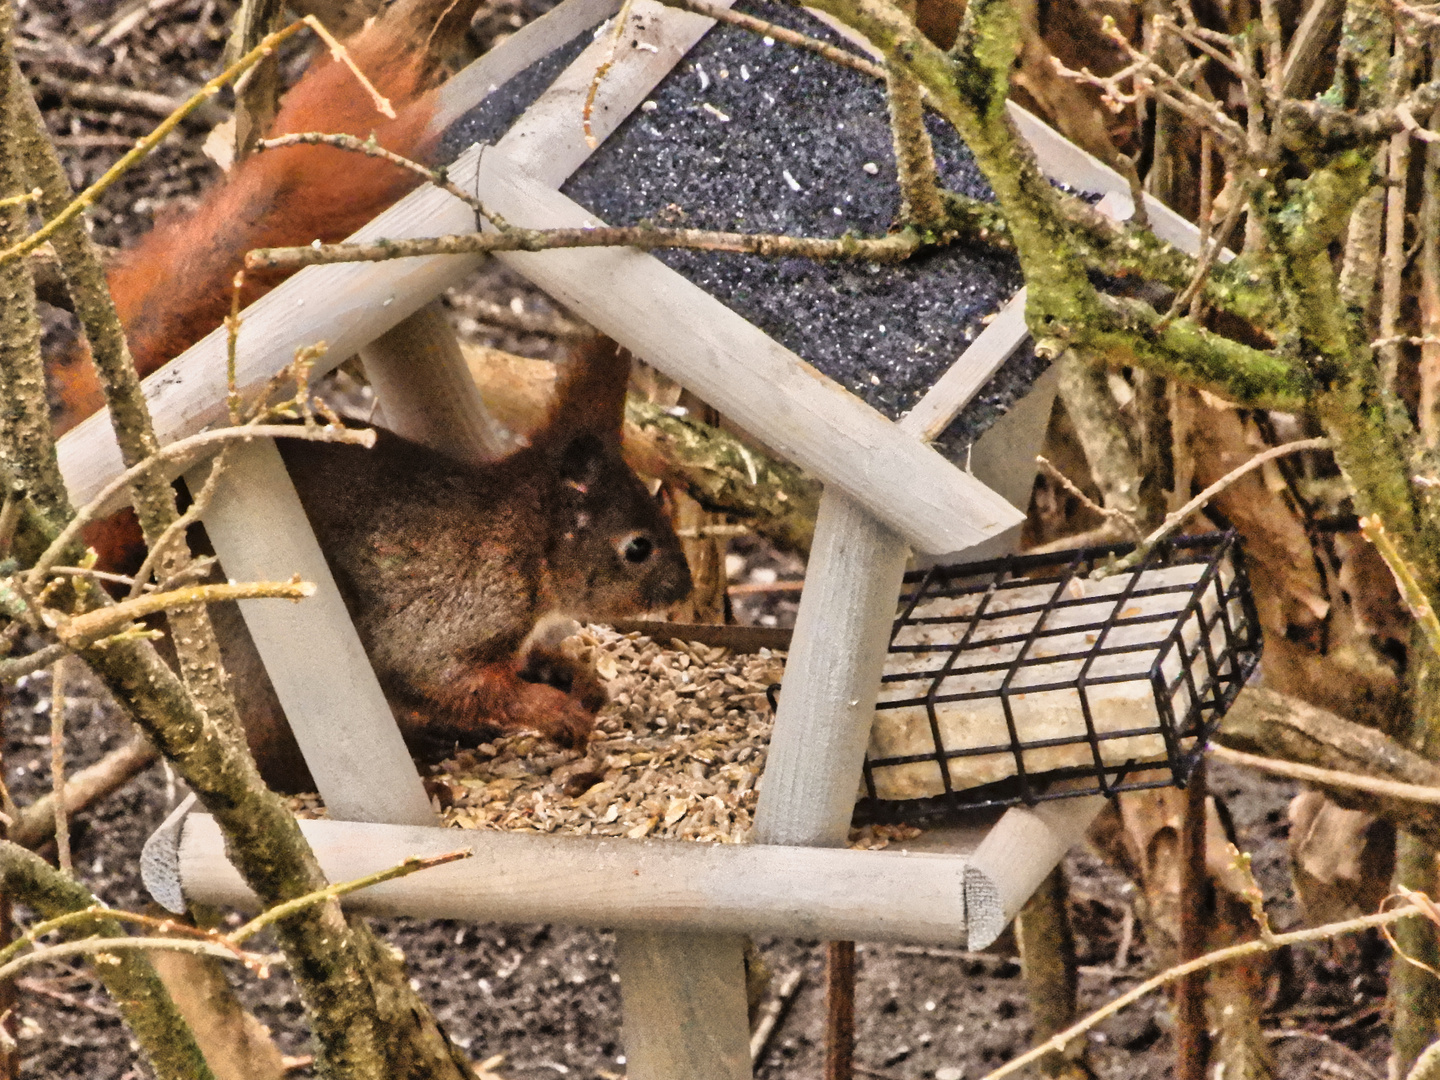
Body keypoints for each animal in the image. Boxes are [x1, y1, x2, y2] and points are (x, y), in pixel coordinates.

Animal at [47, 12, 688, 789]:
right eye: (636, 548)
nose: (683, 589)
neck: (523, 540)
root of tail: (136, 572)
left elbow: (533, 660)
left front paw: (579, 676)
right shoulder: (446, 619)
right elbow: (459, 683)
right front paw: (555, 712)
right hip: (262, 674)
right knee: (289, 761)